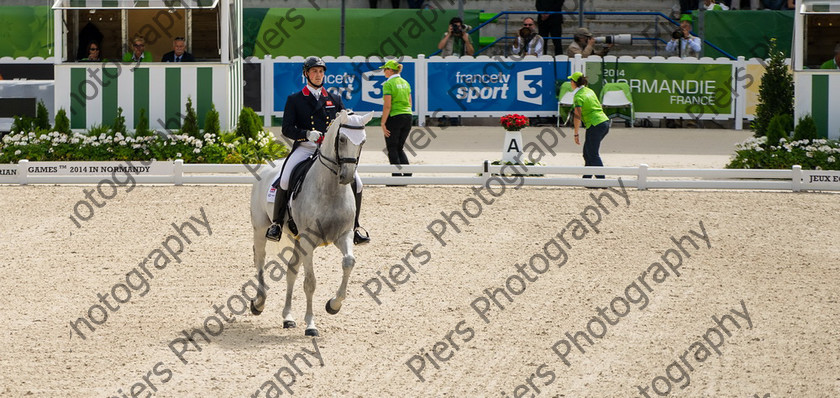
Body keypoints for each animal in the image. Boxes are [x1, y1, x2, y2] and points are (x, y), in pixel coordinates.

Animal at [246, 109, 370, 336]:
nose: (347, 176)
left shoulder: (344, 235)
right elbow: (310, 282)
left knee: (291, 271)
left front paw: (333, 305)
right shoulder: (308, 241)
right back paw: (258, 303)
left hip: (296, 239)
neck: (330, 189)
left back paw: (288, 318)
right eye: (342, 139)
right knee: (260, 260)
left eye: (363, 141)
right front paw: (311, 325)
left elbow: (348, 262)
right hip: (261, 229)